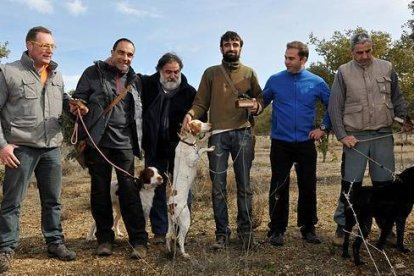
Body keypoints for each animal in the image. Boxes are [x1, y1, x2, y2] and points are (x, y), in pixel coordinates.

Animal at [166, 119, 215, 258]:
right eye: (198, 124)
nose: (210, 124)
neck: (186, 142)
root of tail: (171, 205)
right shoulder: (193, 159)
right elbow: (201, 149)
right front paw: (210, 148)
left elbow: (200, 144)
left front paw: (209, 135)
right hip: (185, 220)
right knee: (179, 238)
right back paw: (184, 254)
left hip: (170, 222)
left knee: (168, 236)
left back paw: (169, 251)